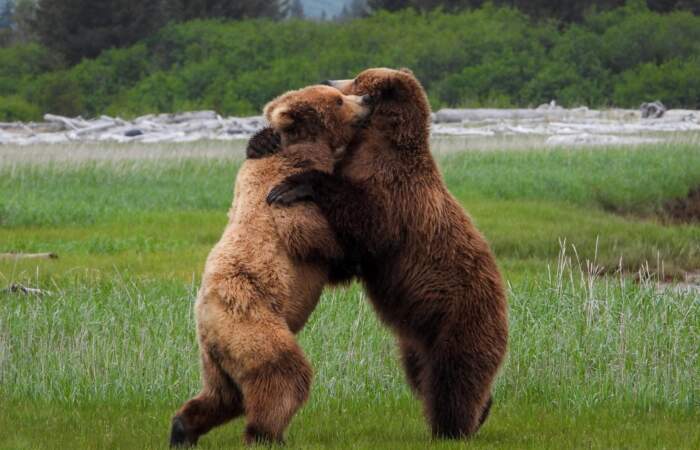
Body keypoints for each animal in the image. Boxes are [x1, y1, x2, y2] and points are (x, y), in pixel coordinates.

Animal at [170, 84, 371, 447]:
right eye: (337, 99)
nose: (366, 100)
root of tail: (207, 324)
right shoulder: (282, 196)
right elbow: (313, 234)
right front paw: (353, 254)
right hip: (251, 321)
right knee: (282, 375)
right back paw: (267, 434)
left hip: (216, 357)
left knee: (224, 395)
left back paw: (182, 428)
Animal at [267, 68, 509, 439]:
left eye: (357, 81)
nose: (331, 80)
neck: (373, 144)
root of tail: (504, 302)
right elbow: (352, 253)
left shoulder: (396, 197)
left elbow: (368, 220)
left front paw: (294, 184)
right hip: (417, 338)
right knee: (421, 374)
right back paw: (481, 410)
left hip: (460, 317)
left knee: (454, 377)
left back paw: (451, 427)